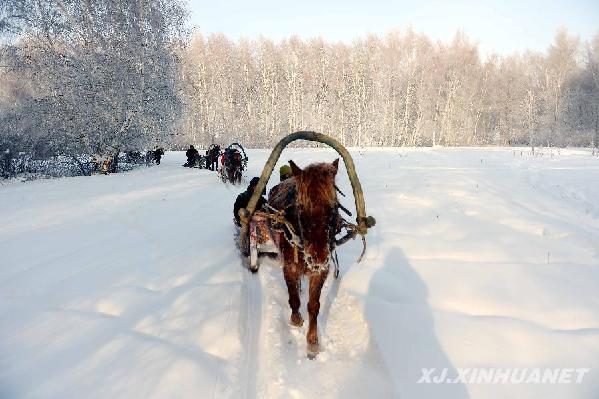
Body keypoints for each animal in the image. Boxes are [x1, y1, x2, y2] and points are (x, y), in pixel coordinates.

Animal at [268, 159, 342, 360]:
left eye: (334, 206)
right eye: (300, 207)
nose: (318, 257)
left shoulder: (321, 271)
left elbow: (313, 306)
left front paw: (313, 342)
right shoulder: (289, 266)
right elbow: (293, 298)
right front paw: (296, 319)